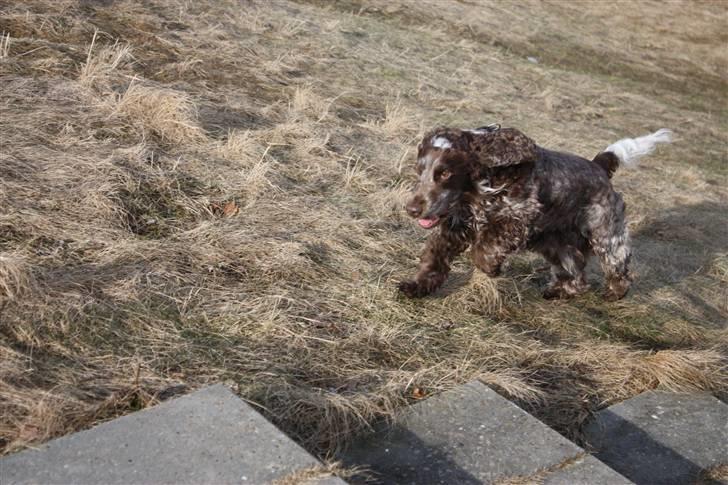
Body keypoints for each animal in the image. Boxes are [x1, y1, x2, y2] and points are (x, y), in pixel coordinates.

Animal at [398, 124, 672, 298]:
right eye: (419, 170)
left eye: (445, 173)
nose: (412, 209)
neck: (479, 187)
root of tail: (599, 164)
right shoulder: (456, 226)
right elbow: (435, 258)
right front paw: (416, 287)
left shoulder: (518, 218)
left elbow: (484, 249)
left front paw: (492, 268)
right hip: (555, 243)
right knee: (576, 273)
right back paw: (560, 291)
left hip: (605, 234)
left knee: (618, 266)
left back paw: (615, 292)